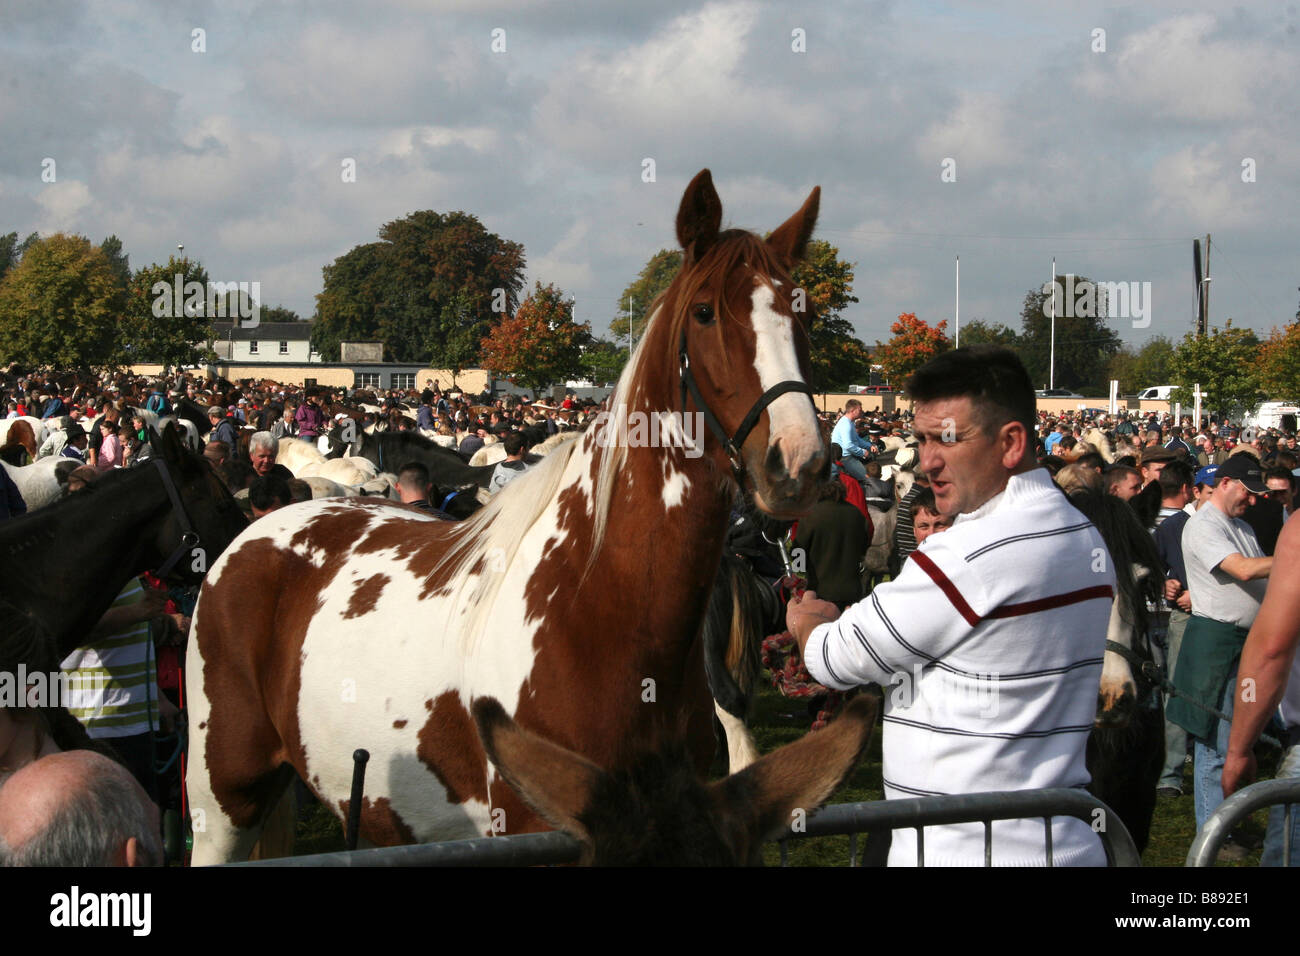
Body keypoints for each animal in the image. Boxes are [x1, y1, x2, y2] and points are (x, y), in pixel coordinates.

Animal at [188, 171, 826, 868]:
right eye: (706, 312)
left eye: (804, 318)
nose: (798, 461)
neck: (597, 607)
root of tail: (251, 538)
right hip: (221, 801)